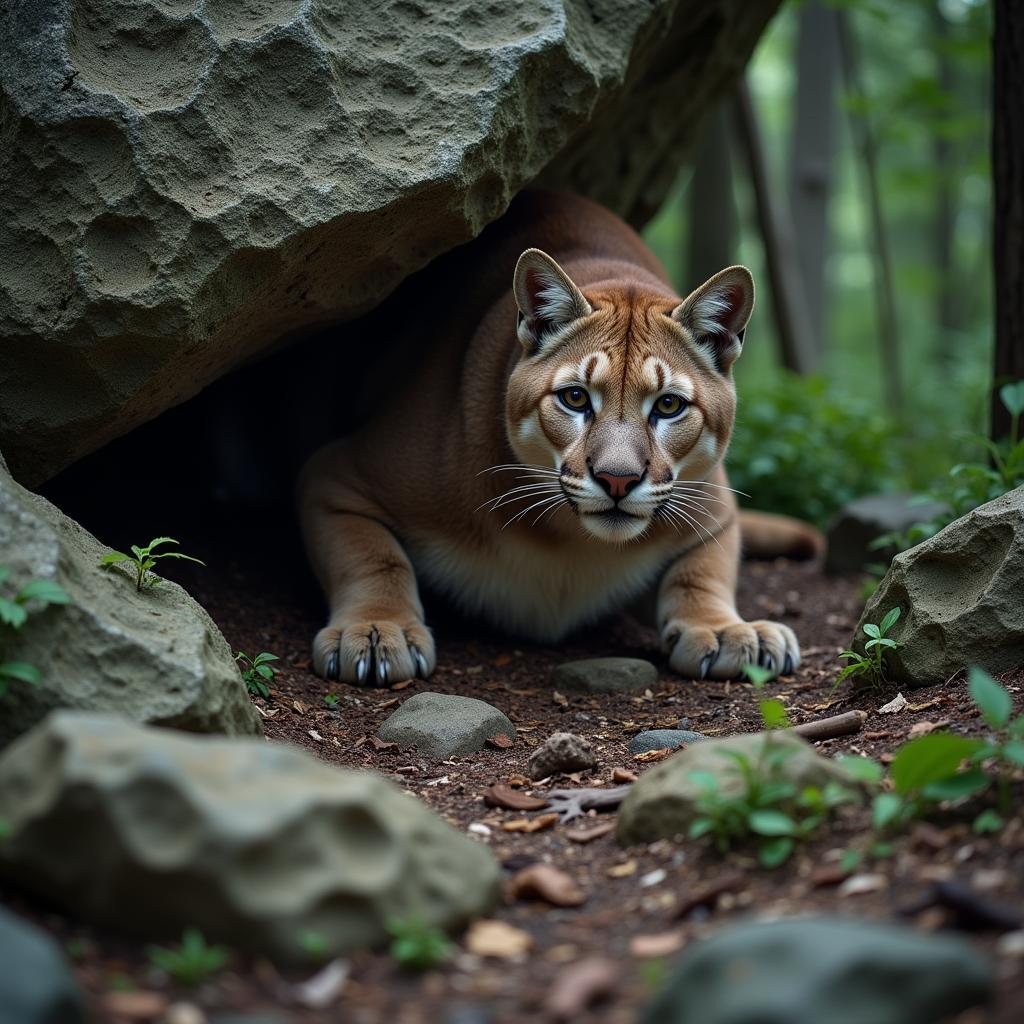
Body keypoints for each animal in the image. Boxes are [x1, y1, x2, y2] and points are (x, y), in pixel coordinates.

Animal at [299, 192, 819, 688]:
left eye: (669, 406)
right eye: (575, 398)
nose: (616, 480)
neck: (571, 544)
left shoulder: (714, 508)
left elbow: (703, 569)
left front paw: (725, 629)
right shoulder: (333, 477)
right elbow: (375, 556)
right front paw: (375, 629)